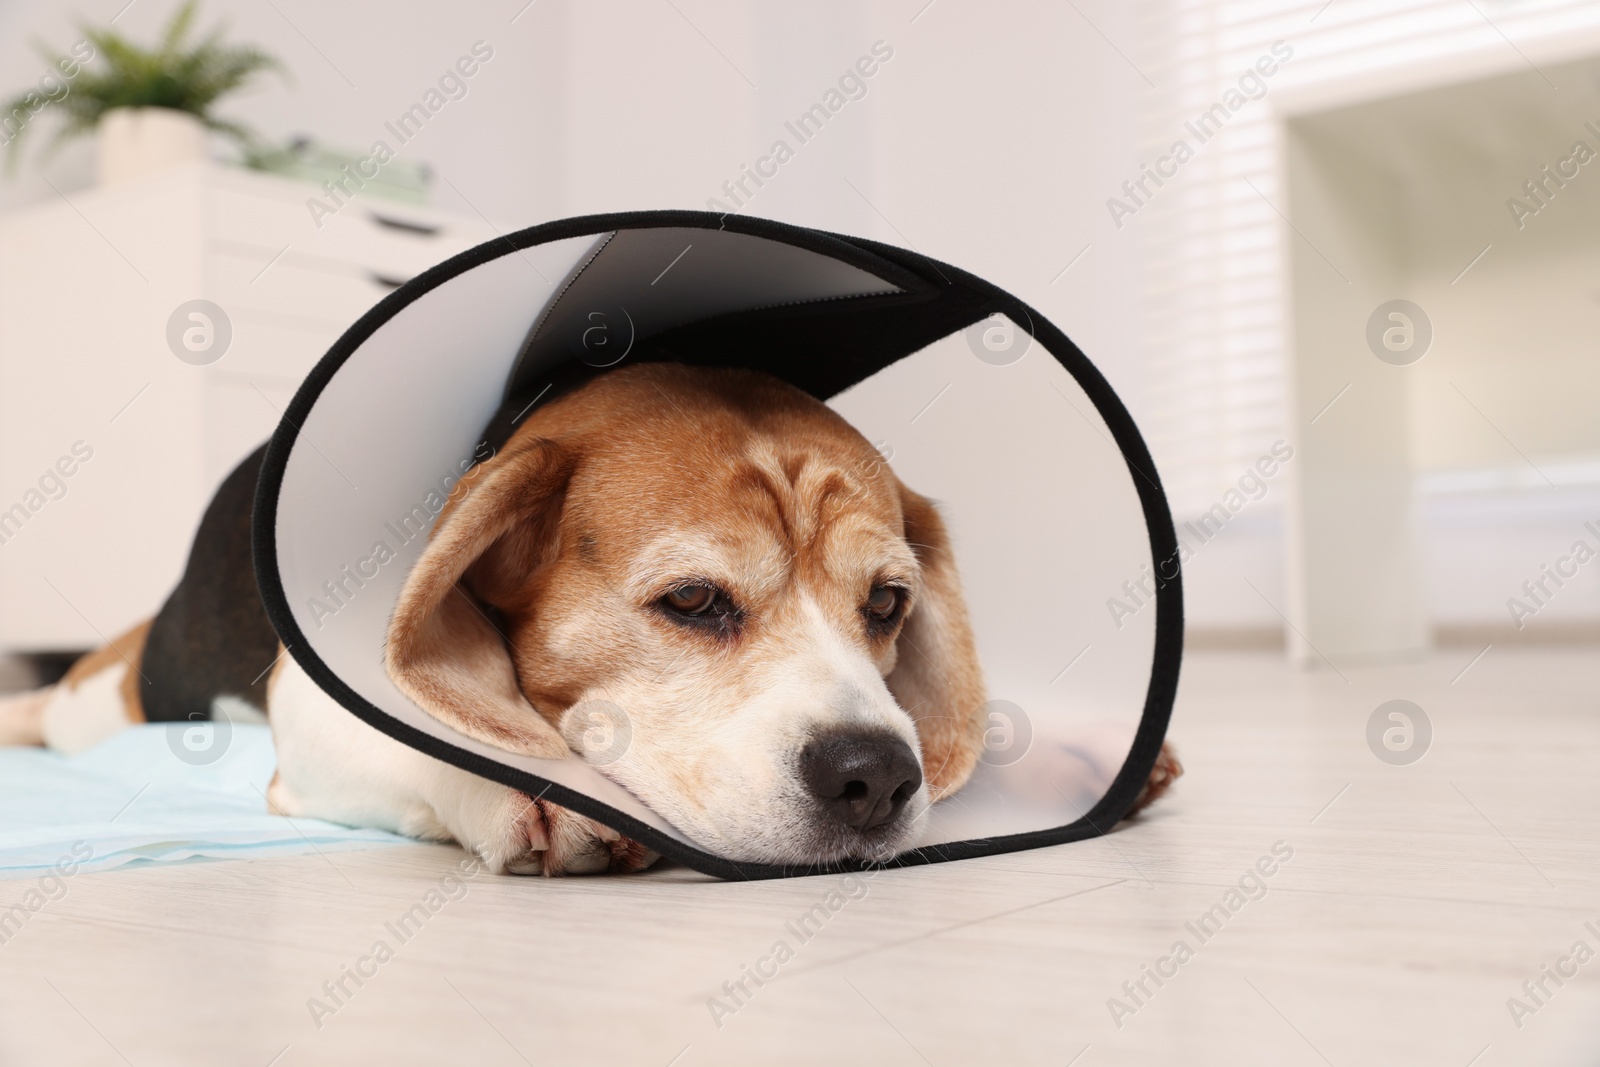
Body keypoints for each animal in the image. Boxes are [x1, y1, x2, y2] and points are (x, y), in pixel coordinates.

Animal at [0, 363, 1177, 870]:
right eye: (693, 600)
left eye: (887, 604)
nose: (878, 777)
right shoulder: (309, 717)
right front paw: (535, 791)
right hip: (105, 698)